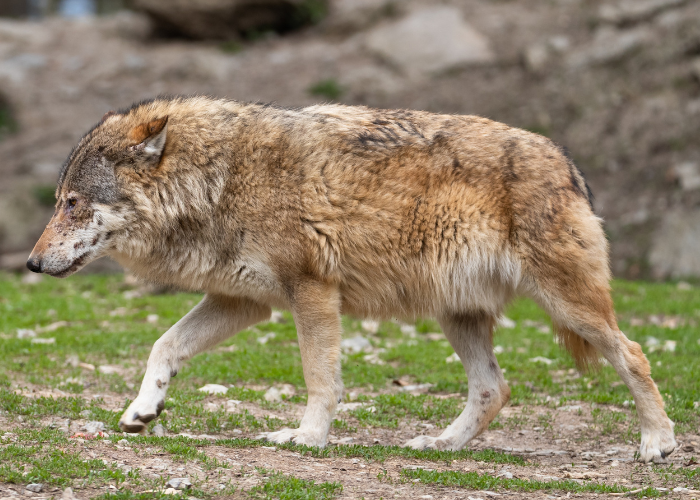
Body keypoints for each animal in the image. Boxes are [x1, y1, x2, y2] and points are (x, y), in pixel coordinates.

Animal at [27, 96, 675, 462]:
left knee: (634, 354)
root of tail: (567, 162)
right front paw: (144, 409)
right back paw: (440, 446)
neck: (218, 180)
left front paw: (307, 439)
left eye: (73, 204)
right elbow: (163, 346)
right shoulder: (244, 302)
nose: (30, 265)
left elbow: (321, 380)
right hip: (457, 314)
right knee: (495, 388)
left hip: (568, 308)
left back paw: (657, 443)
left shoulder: (312, 292)